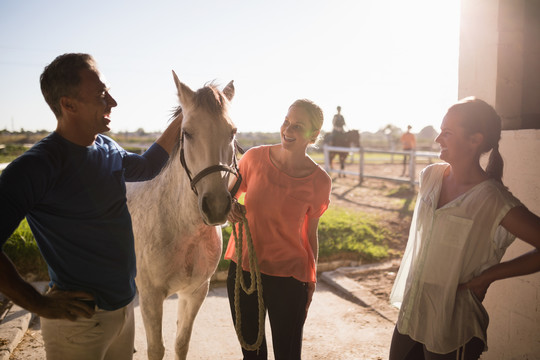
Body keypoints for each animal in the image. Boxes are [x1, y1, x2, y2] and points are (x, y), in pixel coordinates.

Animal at [127, 71, 237, 360]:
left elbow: (181, 343)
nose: (217, 206)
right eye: (187, 133)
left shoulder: (195, 293)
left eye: (233, 132)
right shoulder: (151, 297)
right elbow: (156, 348)